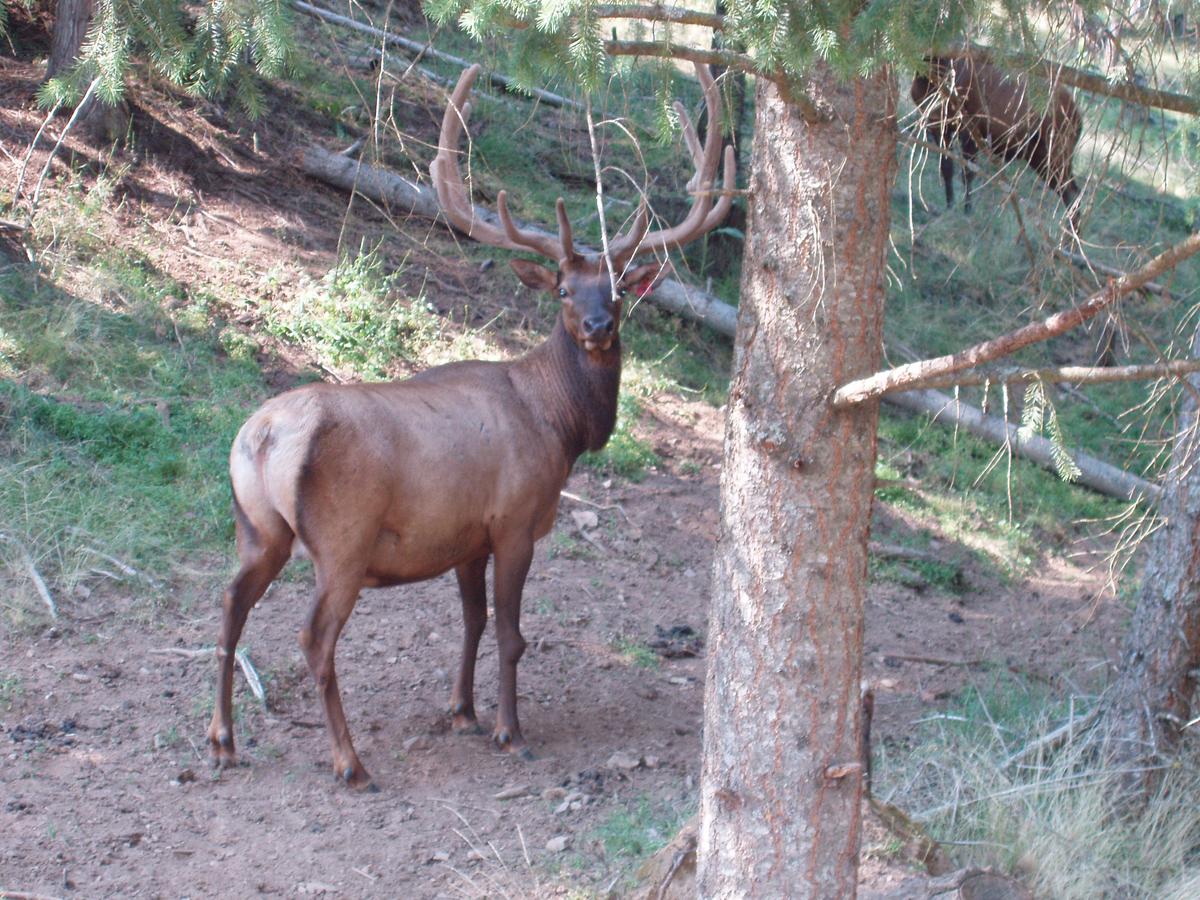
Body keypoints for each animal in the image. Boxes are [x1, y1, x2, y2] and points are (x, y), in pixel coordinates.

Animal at [206, 62, 735, 791]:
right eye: (563, 291)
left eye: (618, 290)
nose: (599, 326)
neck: (560, 425)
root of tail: (261, 439)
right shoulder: (514, 520)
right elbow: (511, 633)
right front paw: (511, 730)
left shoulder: (465, 537)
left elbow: (474, 622)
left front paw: (463, 710)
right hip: (342, 542)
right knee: (314, 638)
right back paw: (349, 761)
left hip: (257, 528)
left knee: (230, 605)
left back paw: (223, 740)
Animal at [911, 56, 1082, 228]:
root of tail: (1078, 117)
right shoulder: (937, 126)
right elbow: (946, 168)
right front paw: (950, 206)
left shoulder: (971, 127)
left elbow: (968, 173)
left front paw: (967, 211)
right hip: (1039, 157)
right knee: (1072, 191)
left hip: (1055, 153)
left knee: (1072, 192)